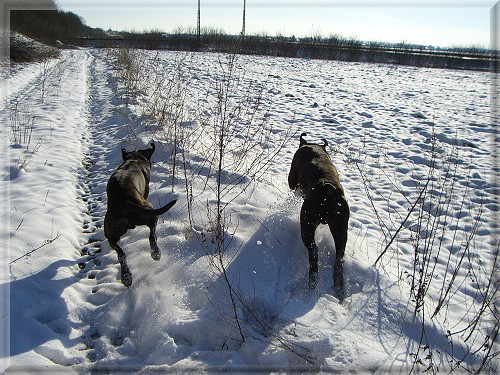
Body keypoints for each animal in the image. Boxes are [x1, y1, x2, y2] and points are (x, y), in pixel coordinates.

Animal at [103, 142, 178, 288]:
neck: (134, 159)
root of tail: (123, 201)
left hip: (111, 235)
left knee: (121, 254)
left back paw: (126, 276)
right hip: (150, 211)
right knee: (152, 236)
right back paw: (156, 253)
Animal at [290, 133, 348, 296]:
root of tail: (329, 191)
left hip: (307, 225)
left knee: (313, 251)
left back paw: (313, 280)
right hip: (340, 228)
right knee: (338, 258)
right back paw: (338, 286)